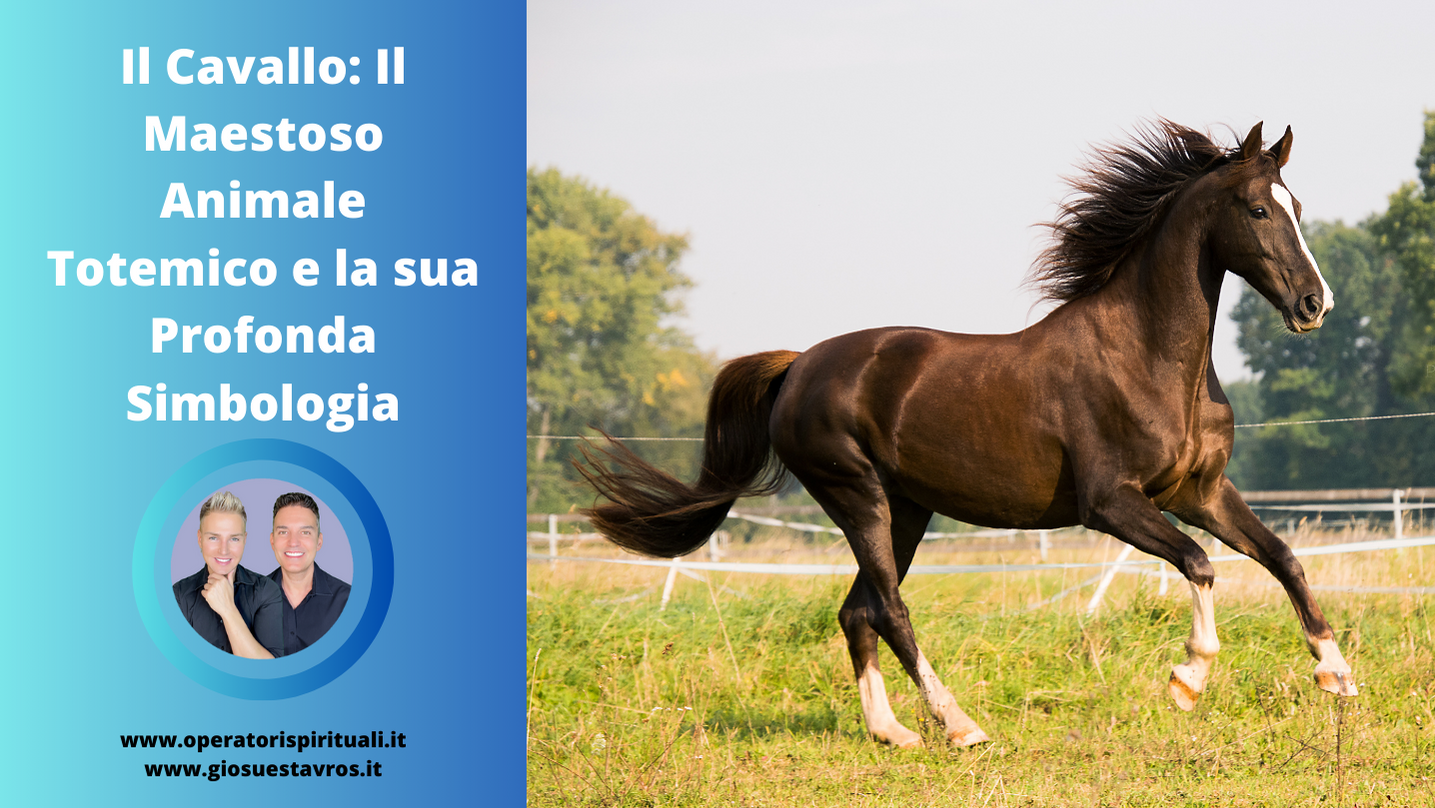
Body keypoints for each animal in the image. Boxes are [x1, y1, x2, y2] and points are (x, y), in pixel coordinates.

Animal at [576, 121, 1357, 749]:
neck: (1148, 358)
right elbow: (1199, 564)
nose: (1313, 305)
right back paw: (959, 726)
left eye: (1296, 206)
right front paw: (1187, 679)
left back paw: (892, 733)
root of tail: (798, 366)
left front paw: (1336, 673)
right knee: (888, 609)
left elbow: (1282, 557)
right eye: (1257, 208)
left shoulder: (1199, 491)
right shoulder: (1111, 503)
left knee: (856, 611)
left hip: (906, 509)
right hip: (856, 496)